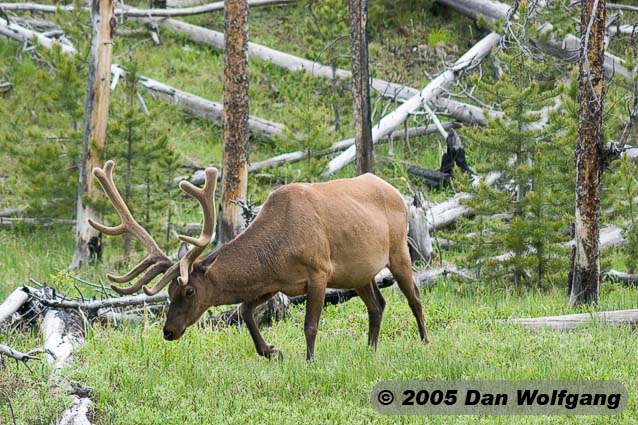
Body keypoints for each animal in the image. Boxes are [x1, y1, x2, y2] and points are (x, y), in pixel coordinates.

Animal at [90, 161, 430, 360]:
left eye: (188, 290)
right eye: (170, 291)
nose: (168, 331)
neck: (278, 251)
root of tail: (396, 192)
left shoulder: (319, 271)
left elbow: (310, 325)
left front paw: (309, 360)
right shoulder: (274, 283)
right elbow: (244, 310)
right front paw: (270, 351)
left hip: (399, 251)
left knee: (414, 297)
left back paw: (425, 342)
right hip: (357, 273)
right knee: (378, 305)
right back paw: (371, 349)